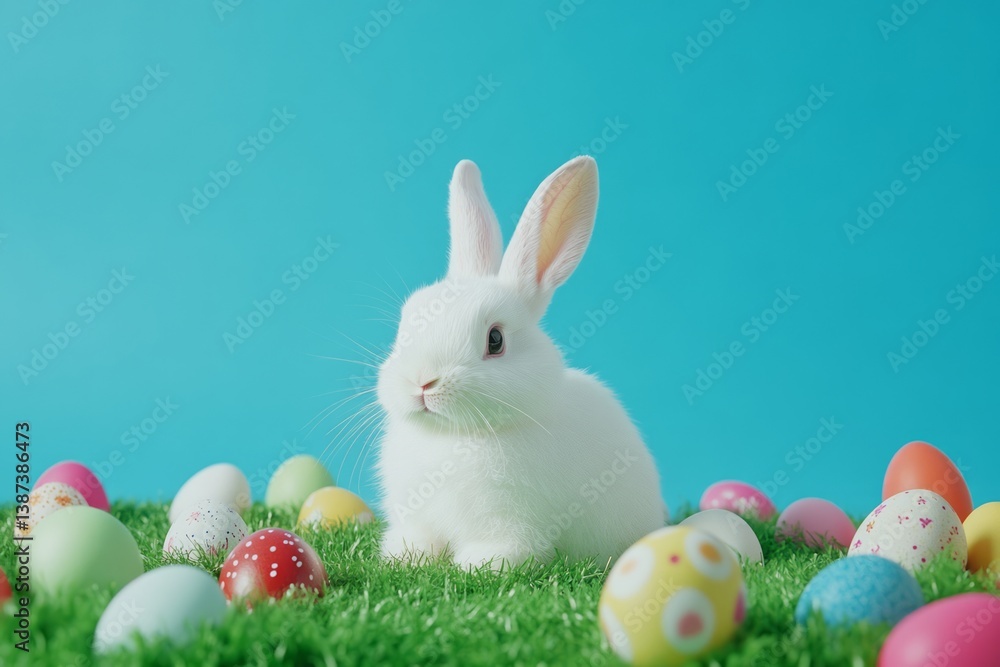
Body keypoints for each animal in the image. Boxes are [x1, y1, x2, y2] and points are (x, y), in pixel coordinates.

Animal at [375, 156, 665, 570]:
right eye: (406, 323)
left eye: (495, 340)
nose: (421, 381)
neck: (455, 436)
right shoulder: (418, 516)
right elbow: (420, 538)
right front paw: (405, 558)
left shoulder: (510, 520)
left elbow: (505, 546)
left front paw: (479, 565)